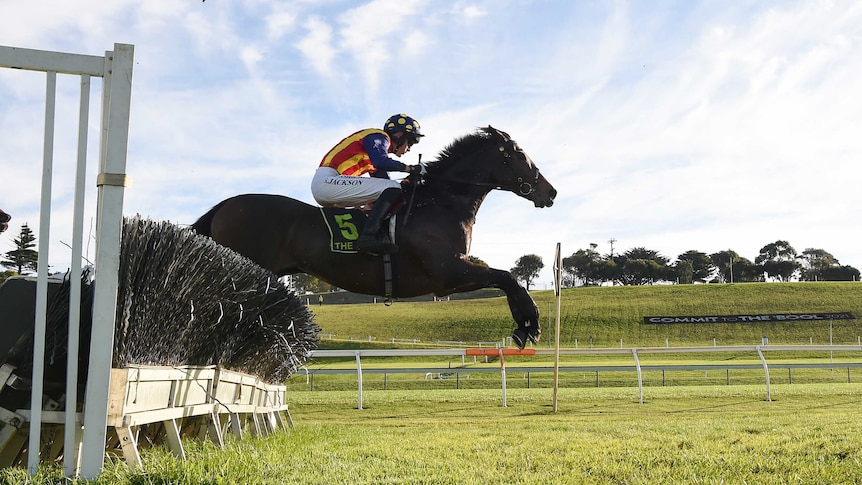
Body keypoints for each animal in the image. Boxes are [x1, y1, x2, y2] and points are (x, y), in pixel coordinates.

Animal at [194, 126, 560, 346]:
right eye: (519, 153)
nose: (550, 191)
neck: (439, 203)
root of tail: (225, 205)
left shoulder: (449, 277)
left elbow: (505, 278)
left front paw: (526, 325)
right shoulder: (448, 272)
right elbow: (508, 277)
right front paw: (528, 324)